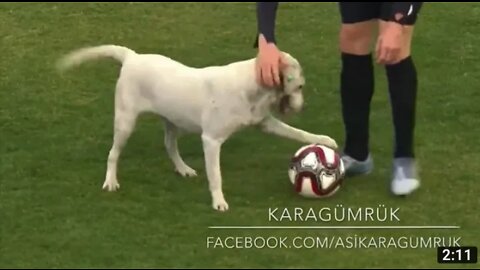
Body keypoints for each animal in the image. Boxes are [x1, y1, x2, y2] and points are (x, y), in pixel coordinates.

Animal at [58, 45, 338, 212]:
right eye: (299, 86)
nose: (303, 107)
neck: (254, 88)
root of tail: (132, 56)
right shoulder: (211, 140)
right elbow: (216, 175)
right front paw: (219, 201)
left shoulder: (265, 123)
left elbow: (299, 134)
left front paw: (326, 140)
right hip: (125, 123)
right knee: (113, 154)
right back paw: (111, 181)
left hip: (173, 121)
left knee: (169, 145)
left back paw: (182, 168)